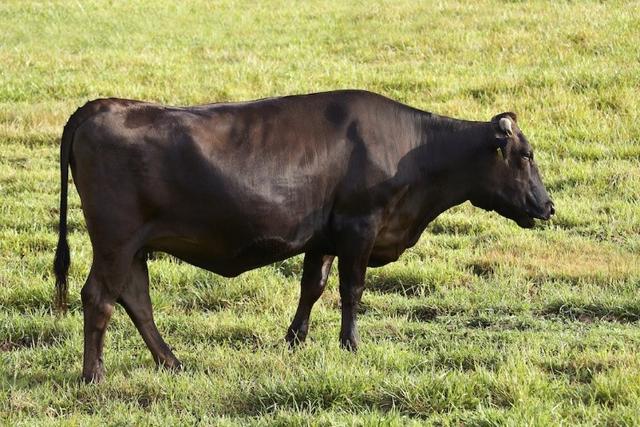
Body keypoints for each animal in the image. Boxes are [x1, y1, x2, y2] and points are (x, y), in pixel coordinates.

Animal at [53, 91, 556, 384]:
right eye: (526, 156)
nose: (548, 206)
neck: (413, 151)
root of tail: (102, 105)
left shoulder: (324, 237)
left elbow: (312, 287)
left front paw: (294, 340)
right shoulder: (359, 225)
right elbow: (352, 290)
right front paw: (350, 344)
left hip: (134, 246)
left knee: (135, 298)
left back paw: (172, 363)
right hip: (116, 240)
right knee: (99, 297)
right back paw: (93, 376)